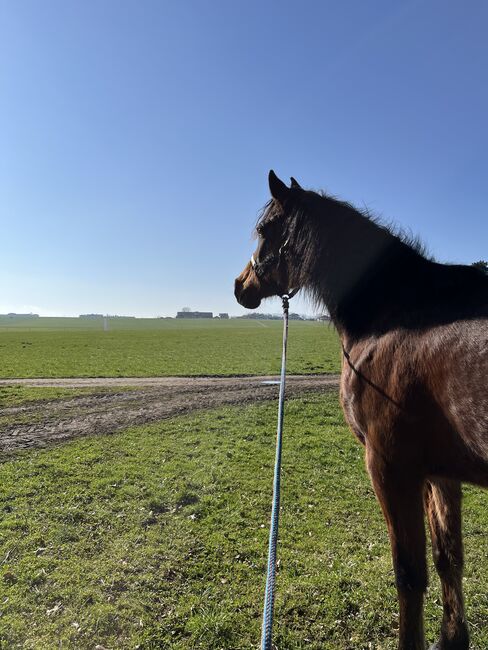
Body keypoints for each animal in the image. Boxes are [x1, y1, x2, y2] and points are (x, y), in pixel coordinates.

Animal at [234, 171, 486, 648]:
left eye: (262, 230)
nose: (240, 286)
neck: (394, 316)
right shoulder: (440, 472)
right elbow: (449, 557)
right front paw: (451, 637)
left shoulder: (390, 466)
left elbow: (410, 575)